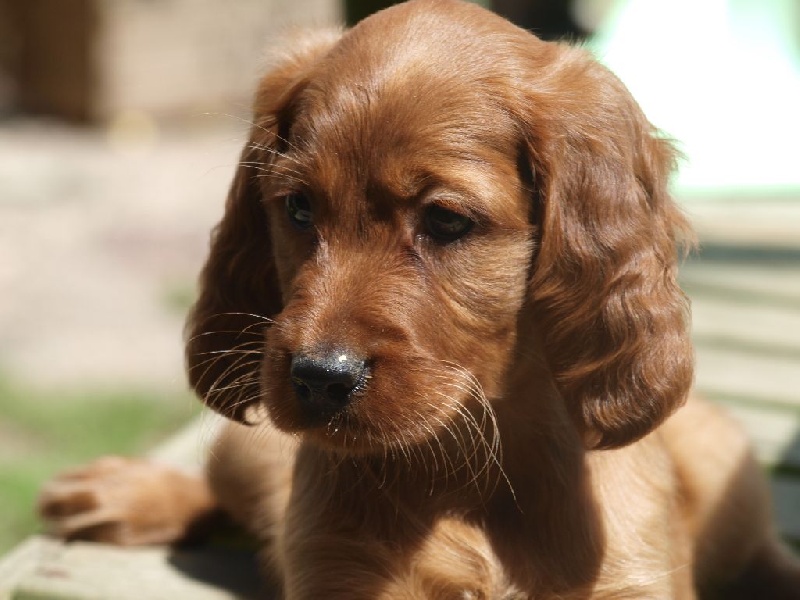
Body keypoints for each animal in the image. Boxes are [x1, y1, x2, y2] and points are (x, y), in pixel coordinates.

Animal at [40, 2, 800, 596]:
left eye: (445, 221)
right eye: (297, 208)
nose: (319, 378)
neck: (475, 470)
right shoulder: (342, 570)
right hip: (248, 450)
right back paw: (122, 492)